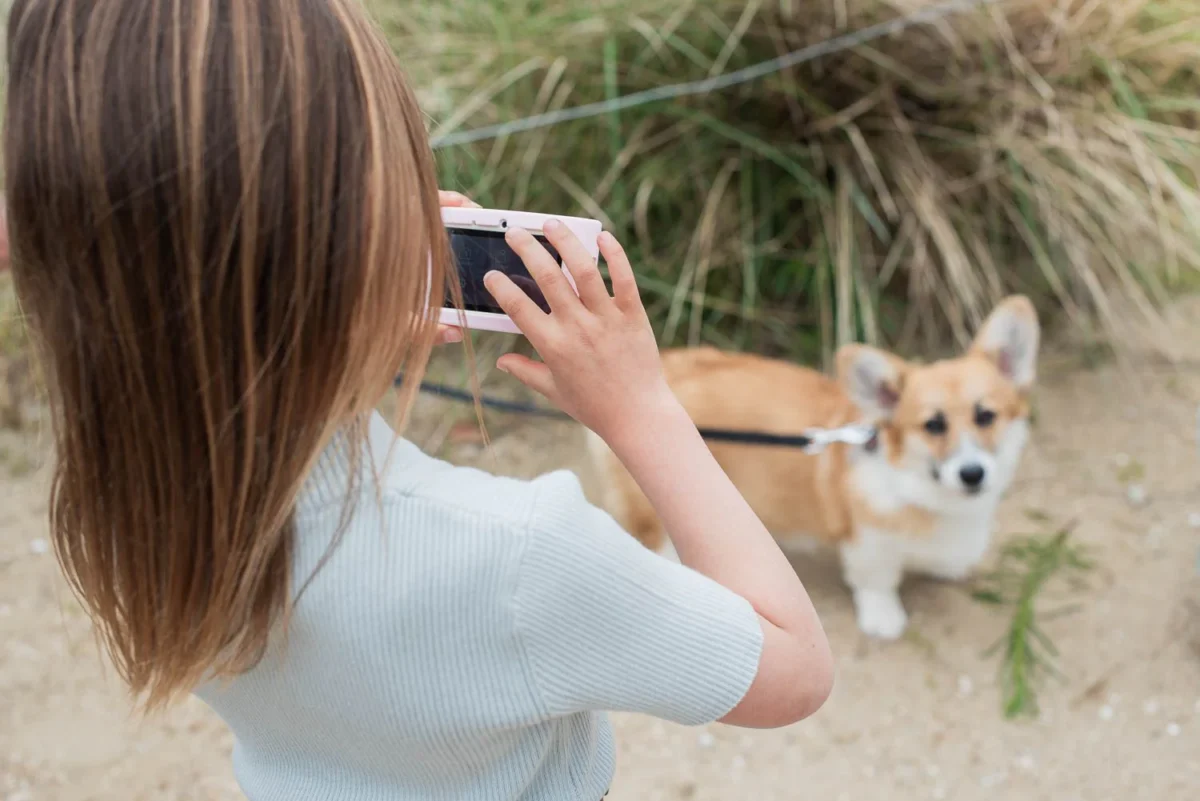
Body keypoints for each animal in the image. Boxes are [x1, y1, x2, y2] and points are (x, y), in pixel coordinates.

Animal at [585, 297, 1036, 642]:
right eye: (934, 425)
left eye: (986, 416)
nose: (972, 474)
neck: (924, 488)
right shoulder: (868, 542)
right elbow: (877, 581)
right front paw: (884, 619)